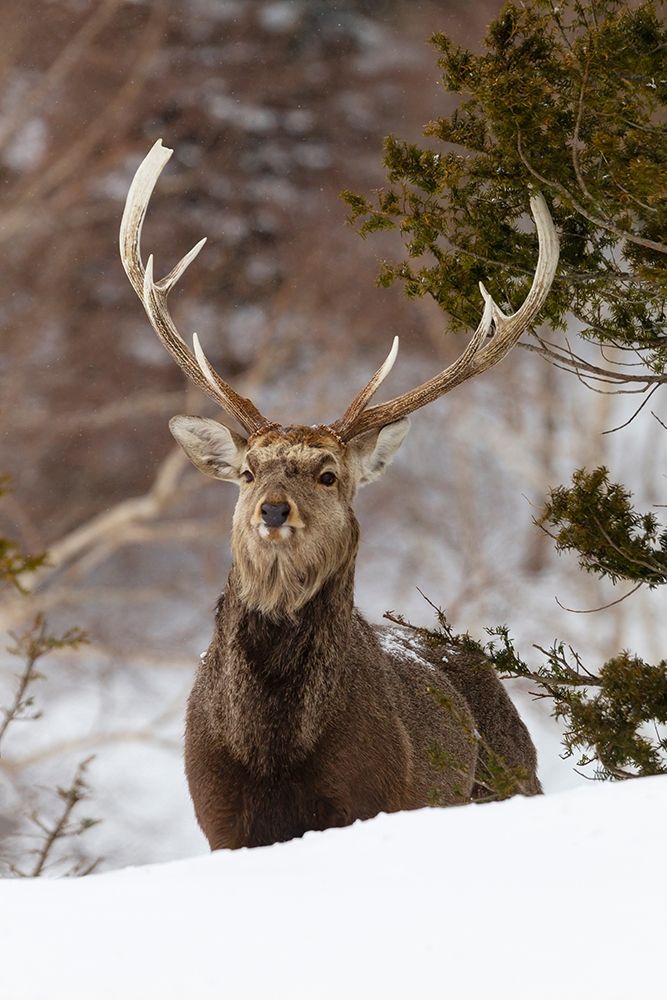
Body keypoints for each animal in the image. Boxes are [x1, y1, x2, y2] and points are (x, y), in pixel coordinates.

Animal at [120, 140, 558, 850]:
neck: (270, 752)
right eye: (248, 471)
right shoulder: (218, 819)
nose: (274, 508)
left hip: (516, 779)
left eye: (328, 474)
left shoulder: (373, 797)